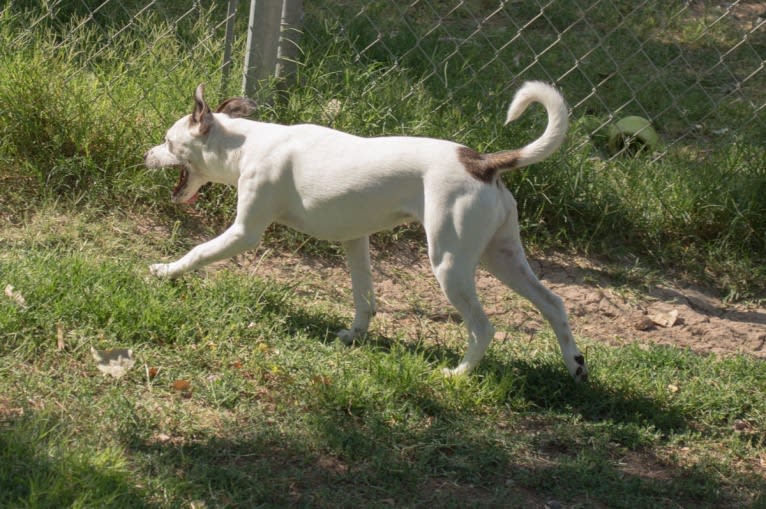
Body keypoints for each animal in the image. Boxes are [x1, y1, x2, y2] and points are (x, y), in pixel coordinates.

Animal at [146, 80, 588, 380]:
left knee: (483, 327)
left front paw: (165, 271)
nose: (146, 154)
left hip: (450, 265)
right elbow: (365, 298)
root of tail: (482, 162)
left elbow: (198, 251)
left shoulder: (244, 232)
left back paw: (459, 373)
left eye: (168, 141)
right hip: (503, 257)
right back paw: (575, 365)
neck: (247, 144)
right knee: (554, 304)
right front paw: (355, 336)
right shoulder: (355, 240)